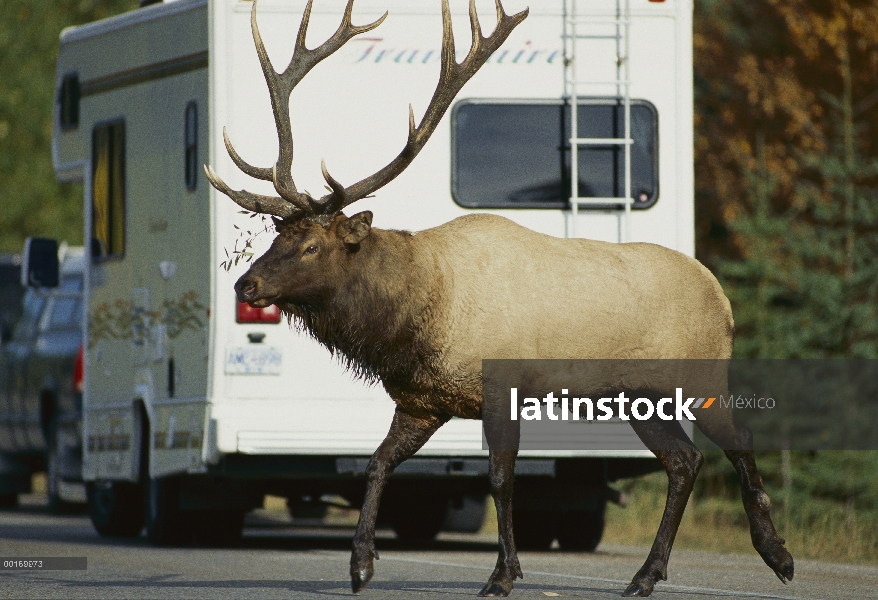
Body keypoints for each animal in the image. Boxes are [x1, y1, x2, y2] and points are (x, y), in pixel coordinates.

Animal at [206, 0, 796, 596]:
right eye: (276, 237)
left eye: (310, 246)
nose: (245, 284)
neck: (419, 313)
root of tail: (722, 296)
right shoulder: (421, 401)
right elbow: (377, 464)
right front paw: (360, 564)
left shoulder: (502, 387)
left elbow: (499, 479)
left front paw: (502, 576)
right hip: (636, 397)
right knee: (684, 460)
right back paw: (647, 575)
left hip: (700, 377)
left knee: (735, 438)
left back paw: (777, 556)